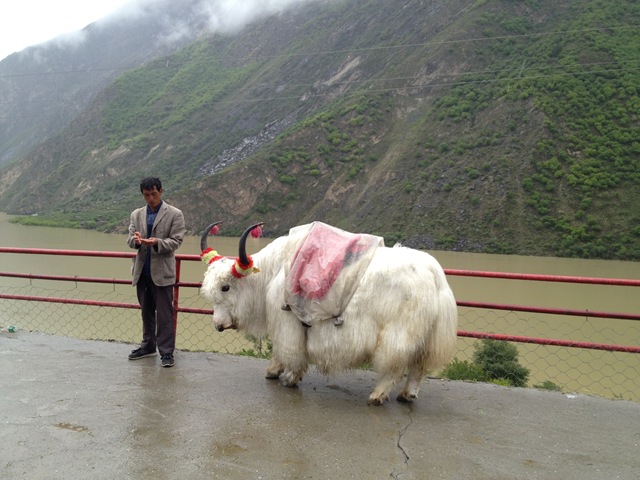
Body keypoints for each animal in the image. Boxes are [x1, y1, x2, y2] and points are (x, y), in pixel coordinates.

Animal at [200, 221, 458, 405]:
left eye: (225, 287)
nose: (218, 325)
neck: (273, 272)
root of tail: (436, 275)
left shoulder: (287, 320)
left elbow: (291, 350)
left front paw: (289, 378)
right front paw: (273, 371)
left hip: (398, 333)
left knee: (396, 365)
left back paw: (377, 396)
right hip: (425, 335)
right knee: (418, 367)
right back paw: (406, 395)